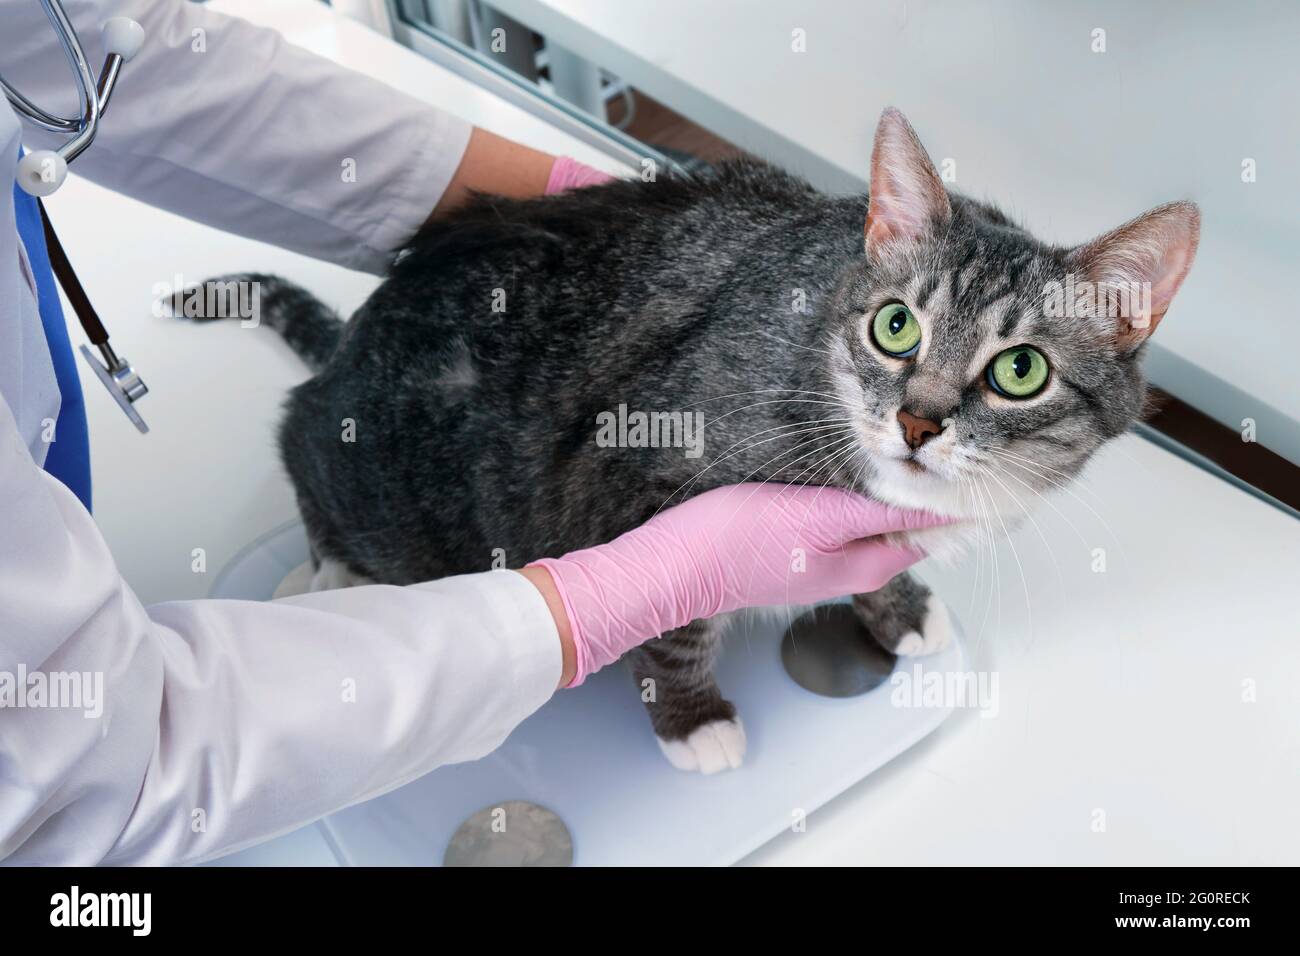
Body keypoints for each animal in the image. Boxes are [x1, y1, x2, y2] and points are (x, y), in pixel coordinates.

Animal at [180, 106, 1196, 780]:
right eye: (896, 326)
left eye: (1020, 370)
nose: (918, 420)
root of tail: (350, 345)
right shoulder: (636, 477)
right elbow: (675, 620)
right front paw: (692, 718)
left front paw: (897, 605)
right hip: (378, 481)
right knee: (300, 446)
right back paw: (322, 567)